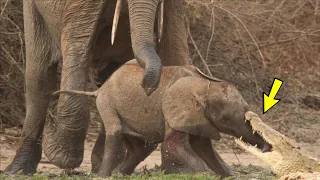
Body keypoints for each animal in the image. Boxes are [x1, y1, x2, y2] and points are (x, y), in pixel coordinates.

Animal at [5, 0, 189, 174]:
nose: (147, 88)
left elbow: (175, 50)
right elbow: (78, 47)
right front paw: (61, 155)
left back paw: (104, 167)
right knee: (38, 76)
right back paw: (17, 170)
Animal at [54, 59, 270, 177]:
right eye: (225, 119)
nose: (268, 148)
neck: (204, 85)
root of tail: (99, 88)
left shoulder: (198, 117)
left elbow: (204, 147)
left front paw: (228, 175)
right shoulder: (175, 109)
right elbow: (174, 145)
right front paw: (204, 174)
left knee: (142, 147)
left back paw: (118, 174)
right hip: (107, 103)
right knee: (115, 134)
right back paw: (105, 176)